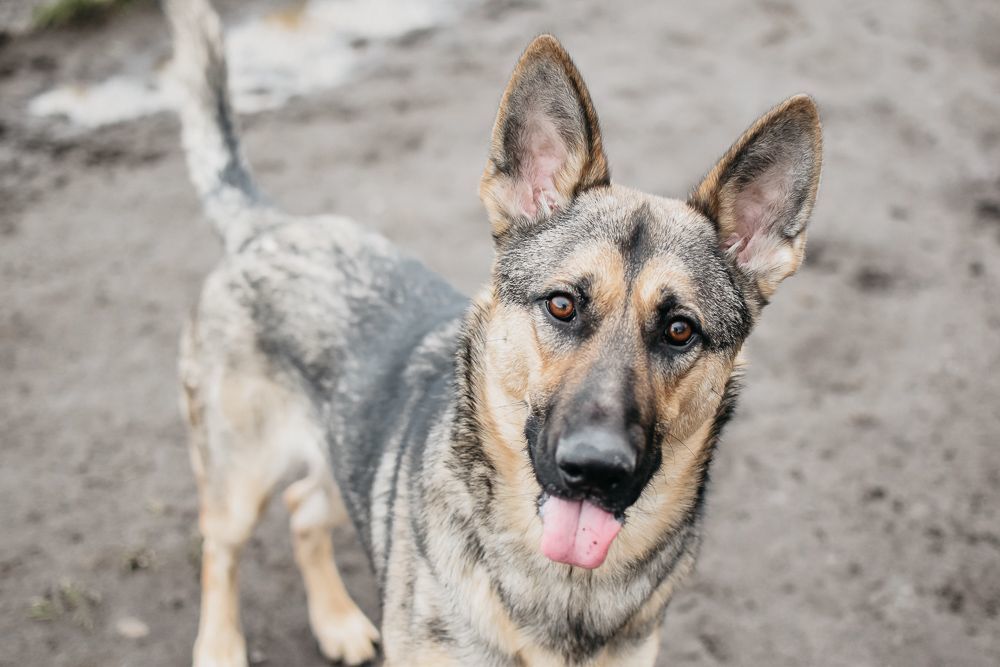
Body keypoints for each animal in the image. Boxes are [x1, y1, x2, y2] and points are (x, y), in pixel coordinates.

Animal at [166, 0, 820, 664]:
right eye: (562, 305)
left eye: (680, 331)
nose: (596, 469)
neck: (563, 588)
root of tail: (268, 226)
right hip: (239, 480)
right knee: (220, 550)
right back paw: (221, 646)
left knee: (302, 510)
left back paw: (336, 620)